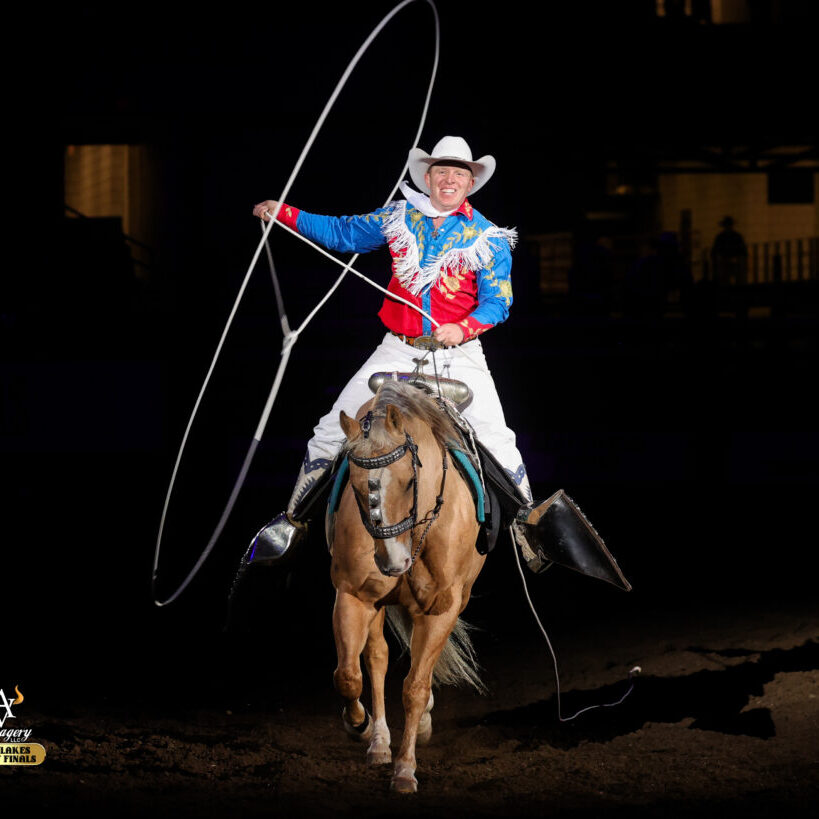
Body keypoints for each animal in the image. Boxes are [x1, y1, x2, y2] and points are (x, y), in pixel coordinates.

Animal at [334, 382, 486, 796]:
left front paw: (405, 769)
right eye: (356, 487)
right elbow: (348, 674)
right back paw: (378, 741)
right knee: (376, 658)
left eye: (408, 481)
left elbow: (415, 687)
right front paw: (360, 725)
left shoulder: (441, 607)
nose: (392, 562)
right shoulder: (353, 596)